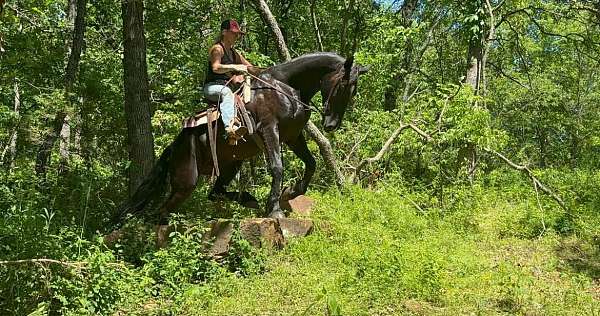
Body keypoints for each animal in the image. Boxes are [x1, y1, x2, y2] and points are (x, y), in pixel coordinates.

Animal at [112, 52, 366, 225]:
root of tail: (174, 147)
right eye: (343, 84)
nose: (331, 124)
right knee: (164, 210)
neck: (284, 86)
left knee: (214, 192)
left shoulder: (293, 136)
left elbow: (311, 163)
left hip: (230, 165)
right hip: (186, 181)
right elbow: (277, 167)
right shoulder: (269, 130)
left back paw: (249, 200)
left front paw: (292, 192)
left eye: (354, 89)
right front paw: (275, 208)